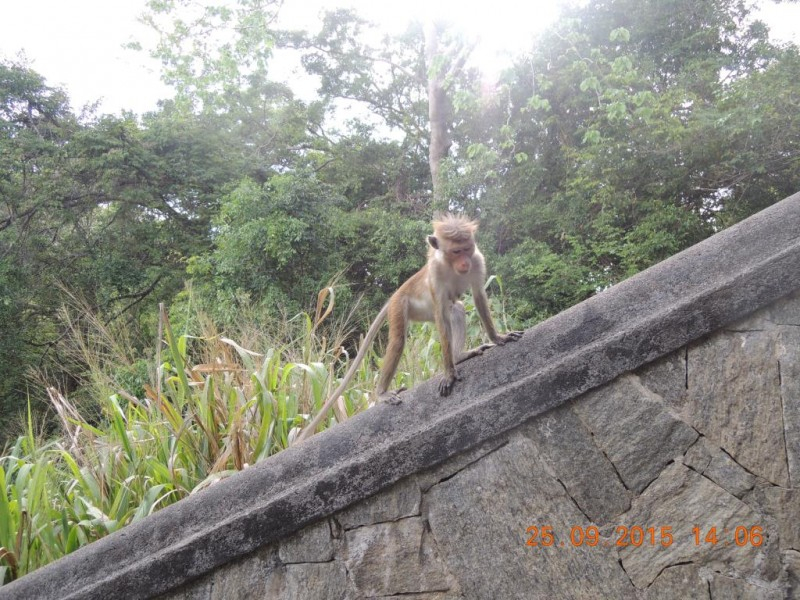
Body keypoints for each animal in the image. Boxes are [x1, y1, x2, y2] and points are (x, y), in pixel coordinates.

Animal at [296, 213, 524, 442]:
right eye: (455, 251)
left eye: (467, 248)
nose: (464, 262)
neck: (450, 266)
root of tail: (395, 294)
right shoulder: (435, 273)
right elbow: (441, 315)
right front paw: (449, 372)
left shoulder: (477, 261)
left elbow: (478, 297)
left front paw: (498, 338)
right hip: (400, 306)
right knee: (399, 340)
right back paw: (381, 393)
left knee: (457, 309)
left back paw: (459, 356)